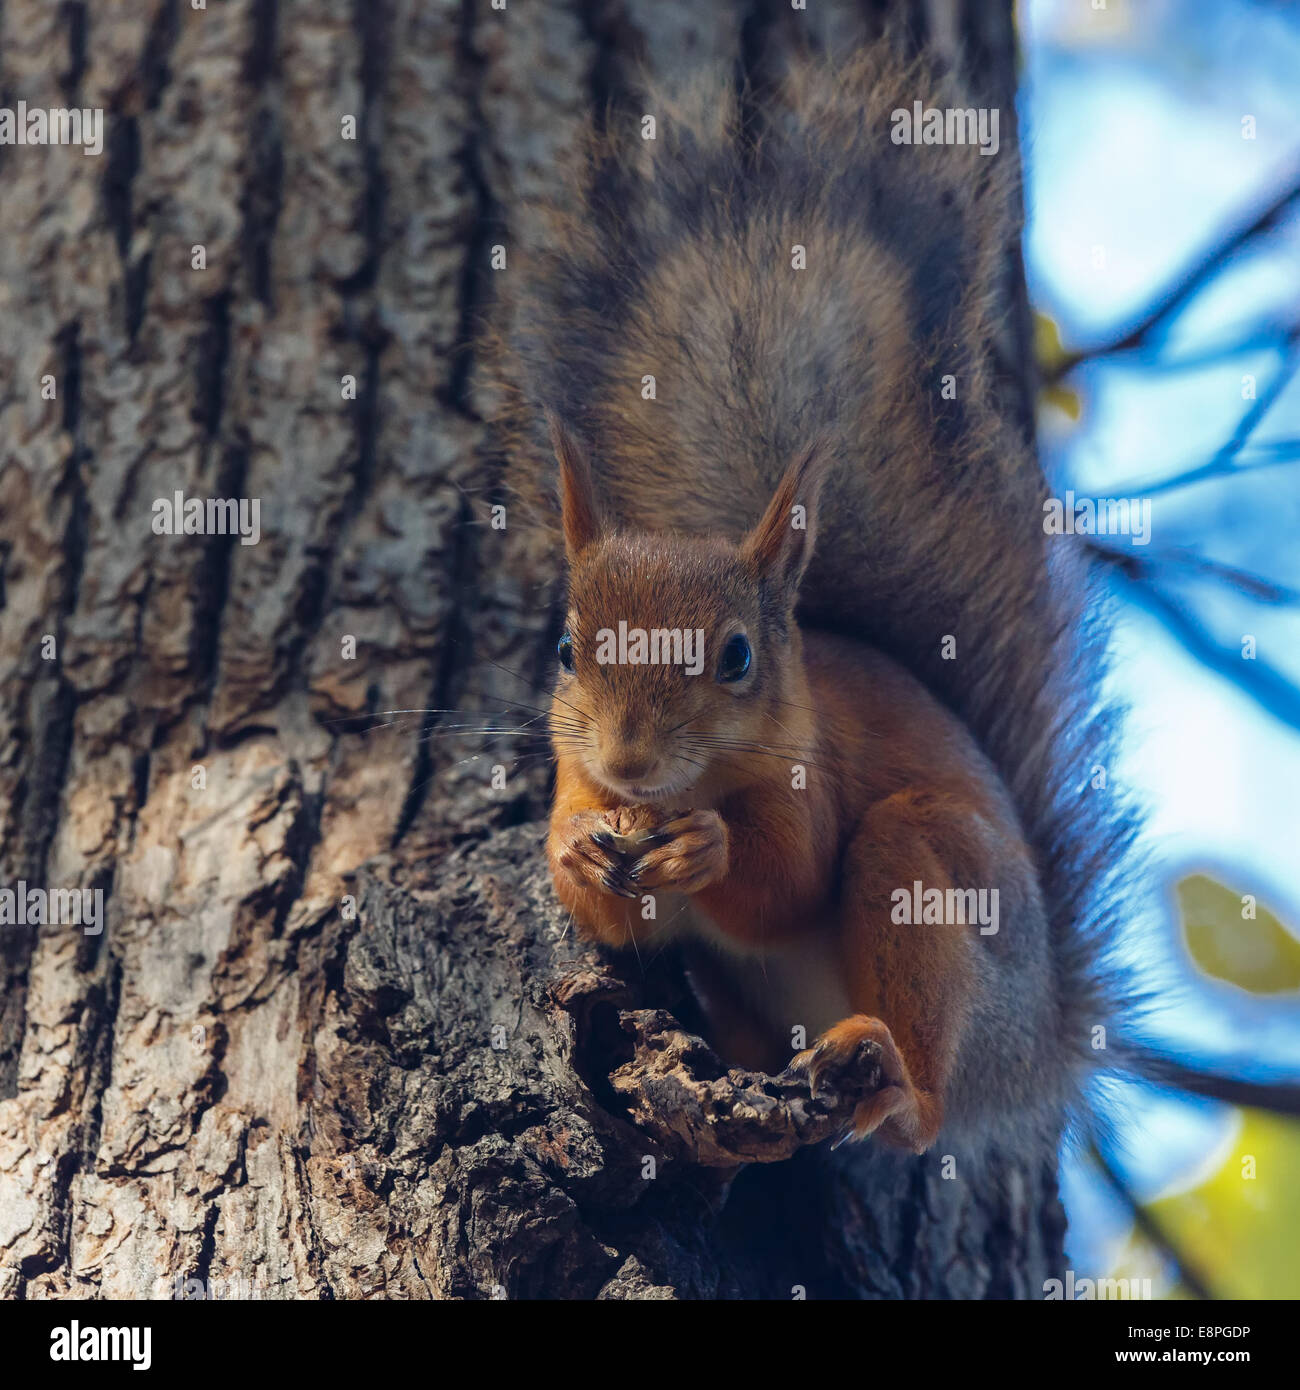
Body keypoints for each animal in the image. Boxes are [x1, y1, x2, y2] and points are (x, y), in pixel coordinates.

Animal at [489, 40, 1129, 1154]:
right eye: (566, 652)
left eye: (737, 656)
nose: (629, 761)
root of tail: (1035, 1052)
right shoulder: (581, 780)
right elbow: (606, 909)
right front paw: (571, 849)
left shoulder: (812, 773)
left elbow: (784, 881)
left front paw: (708, 845)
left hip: (930, 870)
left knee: (921, 1104)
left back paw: (893, 1080)